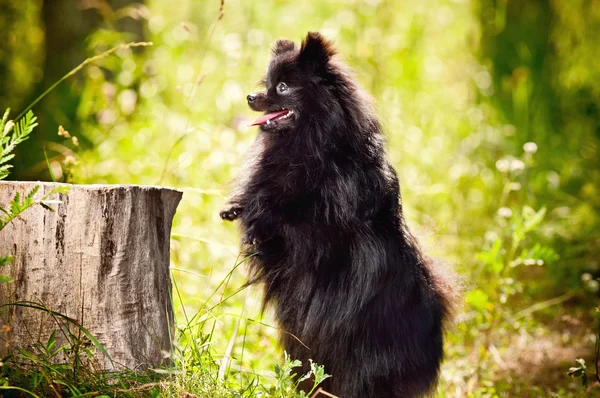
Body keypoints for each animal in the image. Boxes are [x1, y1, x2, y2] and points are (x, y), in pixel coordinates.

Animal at [221, 32, 454, 396]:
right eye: (267, 83)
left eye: (283, 87)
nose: (251, 96)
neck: (309, 146)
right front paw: (238, 207)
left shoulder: (324, 230)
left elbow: (289, 216)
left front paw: (262, 212)